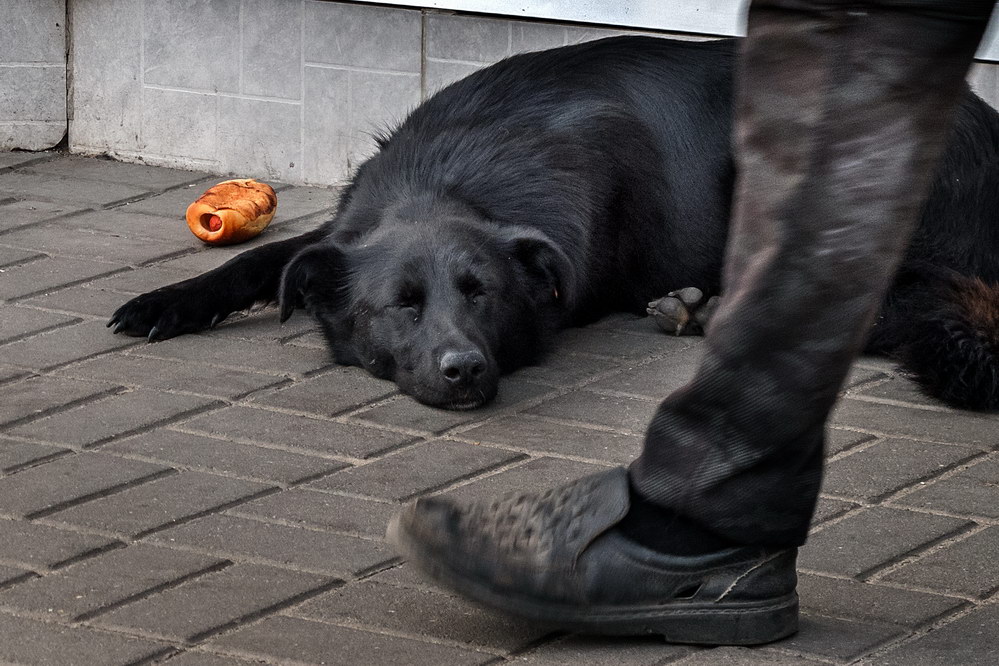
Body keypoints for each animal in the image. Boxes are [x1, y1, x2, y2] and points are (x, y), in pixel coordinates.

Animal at [107, 37, 999, 410]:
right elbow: (257, 263)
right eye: (402, 304)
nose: (464, 370)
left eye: (484, 294)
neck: (450, 180)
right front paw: (169, 301)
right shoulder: (345, 228)